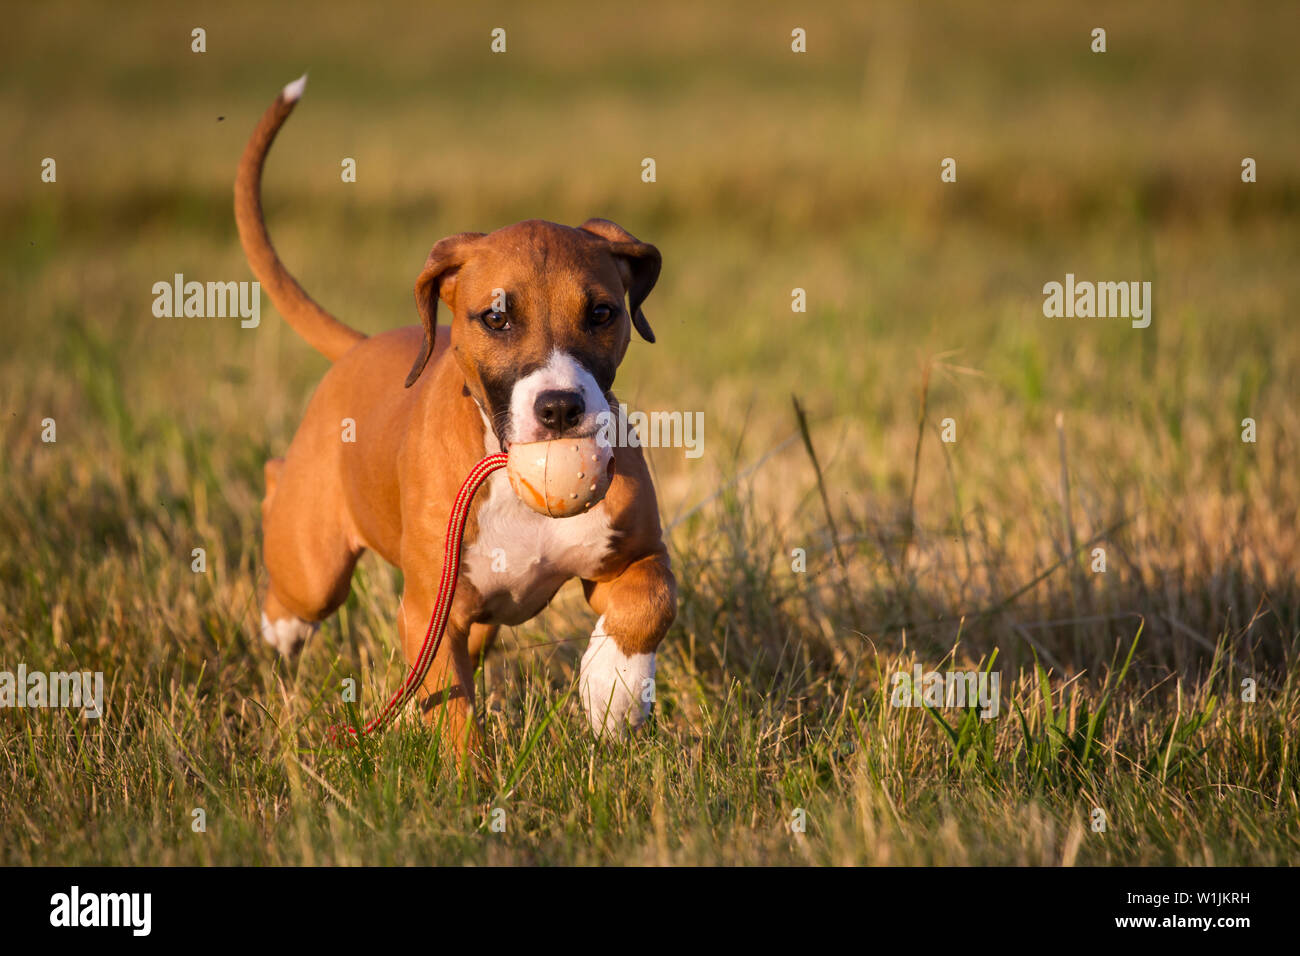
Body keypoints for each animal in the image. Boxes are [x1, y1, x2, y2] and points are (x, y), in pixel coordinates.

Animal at [236, 78, 681, 749]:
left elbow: (650, 602)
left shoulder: (638, 553)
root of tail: (361, 346)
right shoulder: (430, 612)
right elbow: (454, 720)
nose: (560, 409)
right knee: (287, 534)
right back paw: (282, 623)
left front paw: (615, 689)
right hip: (315, 567)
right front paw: (466, 774)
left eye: (602, 313)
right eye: (495, 318)